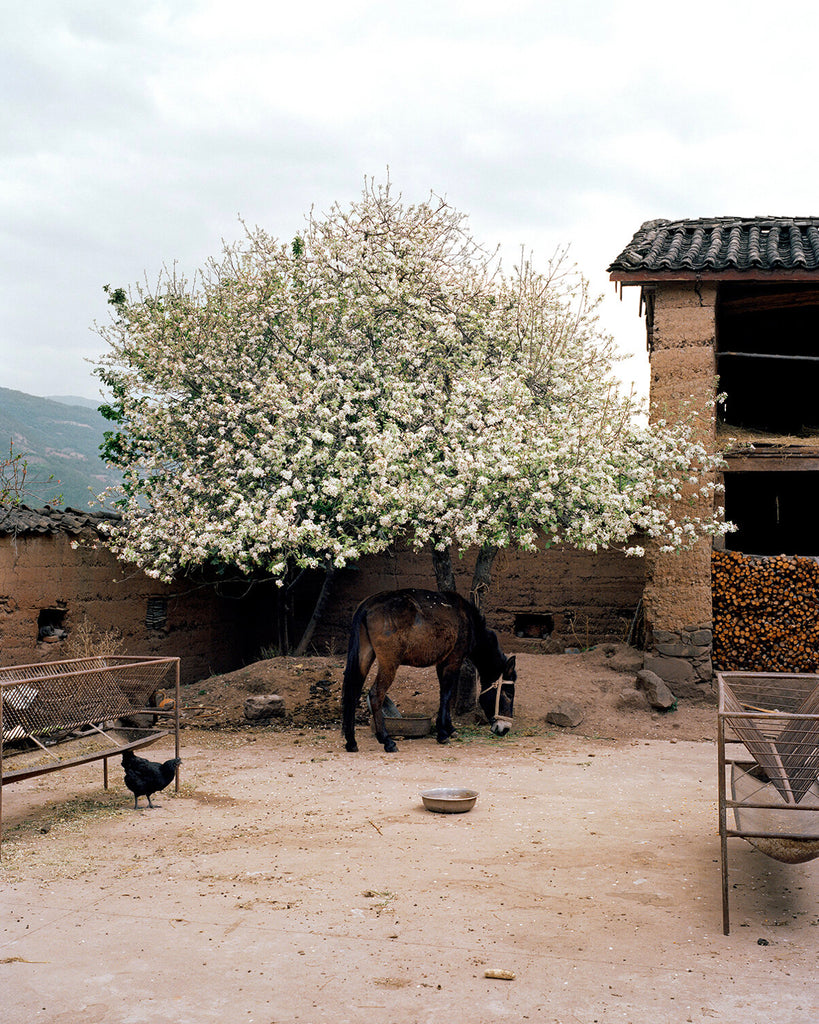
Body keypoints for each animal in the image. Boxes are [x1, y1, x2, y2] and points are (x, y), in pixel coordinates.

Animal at [341, 593, 515, 753]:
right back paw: (387, 741)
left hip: (364, 656)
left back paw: (351, 742)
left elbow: (445, 695)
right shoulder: (453, 661)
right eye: (508, 694)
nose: (505, 728)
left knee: (352, 693)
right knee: (376, 694)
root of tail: (367, 606)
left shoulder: (442, 663)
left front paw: (449, 728)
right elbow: (446, 695)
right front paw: (442, 734)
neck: (468, 620)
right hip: (389, 663)